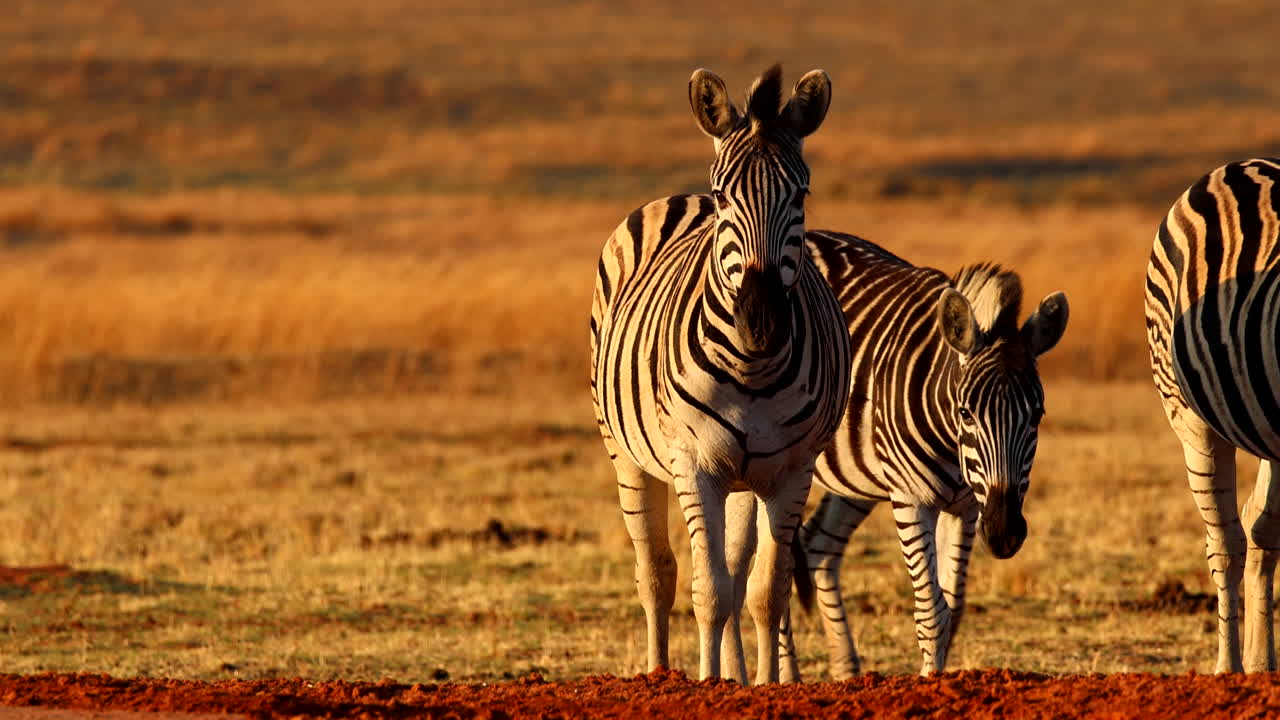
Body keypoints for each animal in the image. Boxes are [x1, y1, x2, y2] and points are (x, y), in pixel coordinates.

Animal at [589, 65, 852, 684]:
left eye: (801, 194)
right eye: (725, 196)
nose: (761, 322)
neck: (751, 369)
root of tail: (680, 198)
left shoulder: (793, 471)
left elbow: (764, 591)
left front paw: (763, 685)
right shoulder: (694, 464)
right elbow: (707, 591)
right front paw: (708, 684)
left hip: (745, 477)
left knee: (735, 572)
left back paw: (735, 674)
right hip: (625, 452)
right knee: (657, 574)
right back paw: (662, 673)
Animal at [737, 230, 1069, 678]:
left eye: (1037, 415)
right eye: (966, 412)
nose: (1004, 534)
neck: (951, 443)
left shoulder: (965, 507)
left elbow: (952, 610)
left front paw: (940, 679)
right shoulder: (912, 500)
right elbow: (931, 612)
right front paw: (930, 683)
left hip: (854, 473)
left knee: (819, 544)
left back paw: (846, 670)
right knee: (779, 563)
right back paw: (788, 677)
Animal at [1145, 158, 1280, 673]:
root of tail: (1234, 167)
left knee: (1260, 527)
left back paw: (1262, 665)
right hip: (1190, 419)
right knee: (1226, 541)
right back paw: (1230, 669)